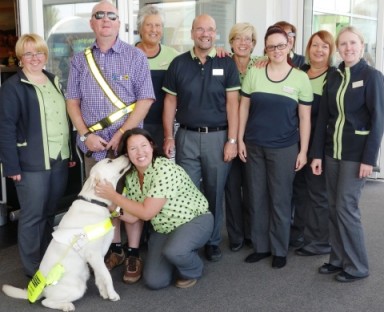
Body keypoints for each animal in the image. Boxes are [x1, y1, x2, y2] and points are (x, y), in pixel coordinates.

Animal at [1, 155, 130, 310]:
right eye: (109, 161)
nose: (126, 155)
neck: (95, 201)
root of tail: (41, 289)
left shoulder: (99, 254)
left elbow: (100, 276)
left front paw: (105, 293)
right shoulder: (93, 254)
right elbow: (107, 275)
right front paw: (112, 294)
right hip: (78, 287)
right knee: (46, 302)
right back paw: (66, 306)